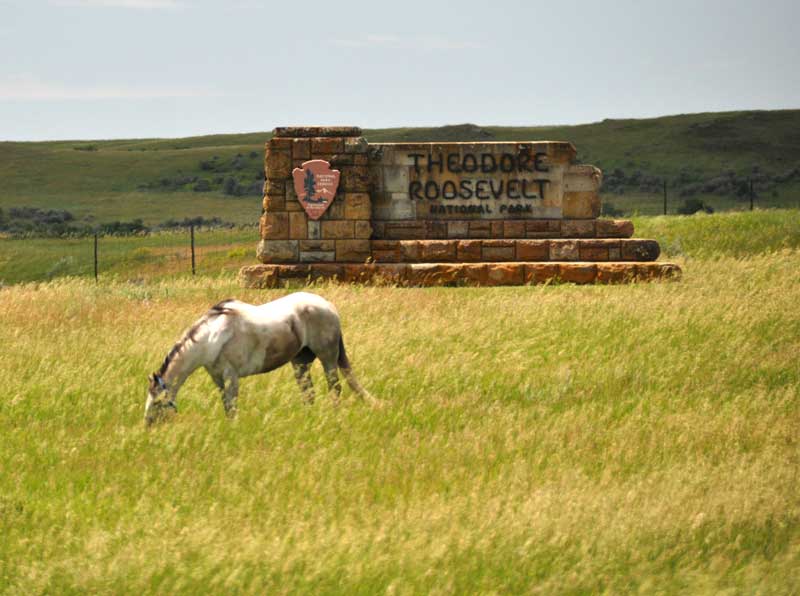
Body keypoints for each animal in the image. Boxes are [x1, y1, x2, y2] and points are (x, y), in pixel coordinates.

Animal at [145, 292, 378, 424]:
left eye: (157, 402)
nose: (148, 425)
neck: (212, 337)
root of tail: (329, 306)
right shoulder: (217, 378)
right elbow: (226, 406)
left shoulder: (231, 377)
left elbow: (232, 407)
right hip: (300, 362)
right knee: (308, 393)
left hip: (327, 357)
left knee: (335, 388)